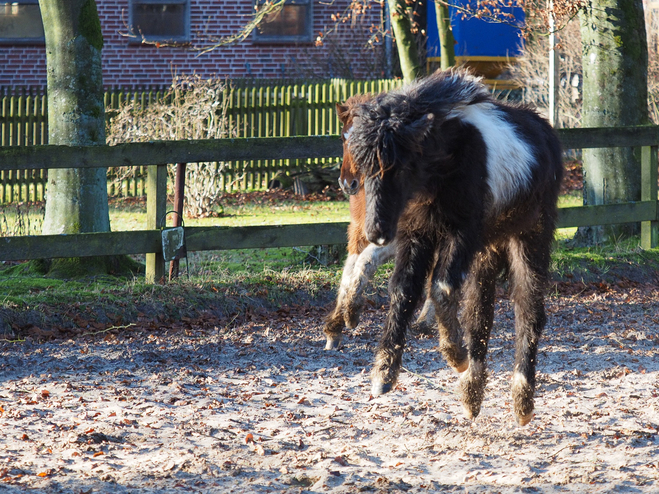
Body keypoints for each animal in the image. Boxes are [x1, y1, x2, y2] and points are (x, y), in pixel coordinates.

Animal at [346, 69, 564, 424]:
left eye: (401, 166)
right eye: (365, 168)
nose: (377, 233)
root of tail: (544, 131)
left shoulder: (462, 233)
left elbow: (442, 287)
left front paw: (454, 354)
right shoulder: (418, 236)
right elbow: (404, 291)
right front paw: (384, 373)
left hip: (530, 238)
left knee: (528, 309)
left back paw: (522, 401)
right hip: (488, 251)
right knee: (480, 313)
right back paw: (472, 394)